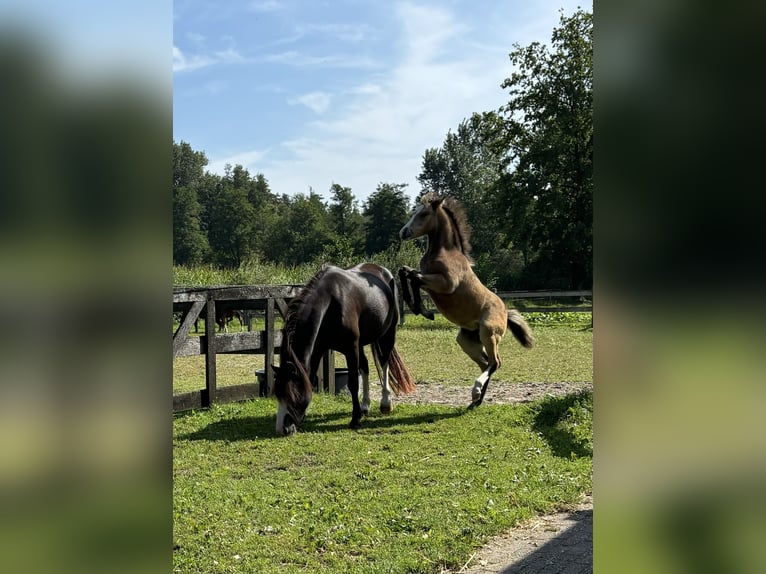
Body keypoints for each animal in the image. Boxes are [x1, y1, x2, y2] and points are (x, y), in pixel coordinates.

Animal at [276, 262, 416, 436]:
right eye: (277, 394)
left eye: (293, 394)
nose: (282, 429)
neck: (330, 303)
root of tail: (383, 271)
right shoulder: (319, 348)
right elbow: (310, 377)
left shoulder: (351, 348)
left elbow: (353, 383)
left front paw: (355, 420)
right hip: (362, 343)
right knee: (365, 366)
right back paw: (365, 406)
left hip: (388, 334)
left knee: (384, 363)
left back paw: (385, 403)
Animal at [402, 194, 536, 410]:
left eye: (423, 214)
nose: (403, 232)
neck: (445, 252)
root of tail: (506, 313)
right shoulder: (429, 281)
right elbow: (405, 272)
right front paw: (418, 308)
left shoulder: (445, 284)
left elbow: (413, 276)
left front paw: (422, 310)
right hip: (467, 339)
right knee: (486, 363)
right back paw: (476, 401)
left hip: (488, 333)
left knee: (495, 362)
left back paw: (476, 391)